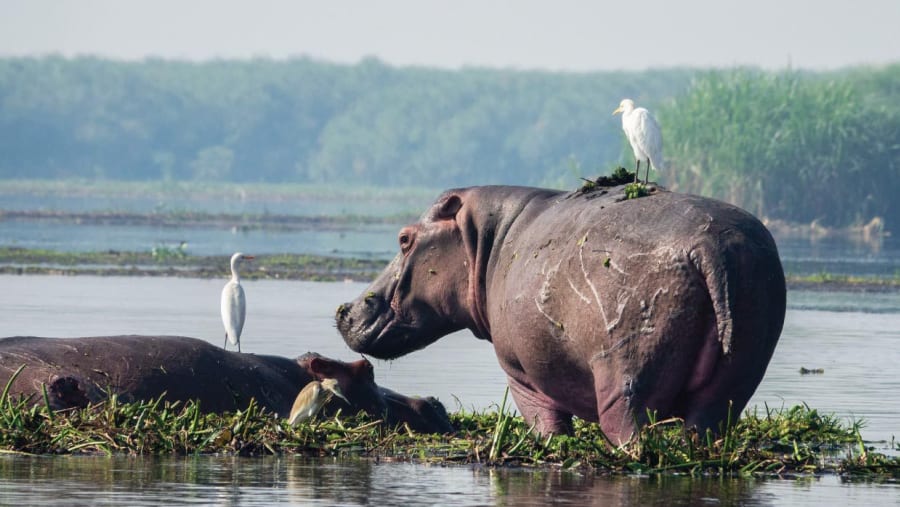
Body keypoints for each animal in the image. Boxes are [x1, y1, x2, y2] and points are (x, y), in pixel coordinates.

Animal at [336, 183, 786, 443]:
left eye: (404, 238)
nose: (344, 310)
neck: (485, 239)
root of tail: (711, 247)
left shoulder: (521, 373)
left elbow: (547, 425)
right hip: (734, 381)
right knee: (707, 425)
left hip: (627, 378)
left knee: (629, 427)